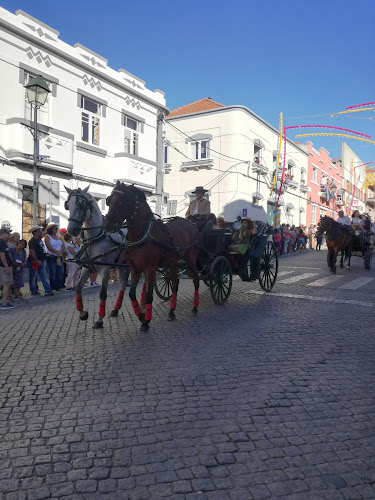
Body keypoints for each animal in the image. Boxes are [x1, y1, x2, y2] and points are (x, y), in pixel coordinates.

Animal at [64, 186, 129, 330]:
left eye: (81, 205)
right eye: (67, 205)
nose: (71, 230)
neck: (95, 238)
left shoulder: (105, 270)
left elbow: (102, 294)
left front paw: (99, 320)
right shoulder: (87, 268)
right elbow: (78, 288)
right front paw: (83, 314)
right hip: (121, 266)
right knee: (123, 285)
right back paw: (116, 309)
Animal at [103, 181, 200, 332]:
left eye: (122, 201)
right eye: (109, 200)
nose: (107, 225)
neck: (142, 233)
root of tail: (191, 223)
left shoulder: (150, 268)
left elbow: (149, 295)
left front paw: (146, 321)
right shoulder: (135, 268)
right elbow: (131, 293)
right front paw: (141, 316)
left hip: (190, 259)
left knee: (195, 279)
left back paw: (195, 308)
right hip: (173, 262)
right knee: (175, 283)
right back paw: (171, 312)